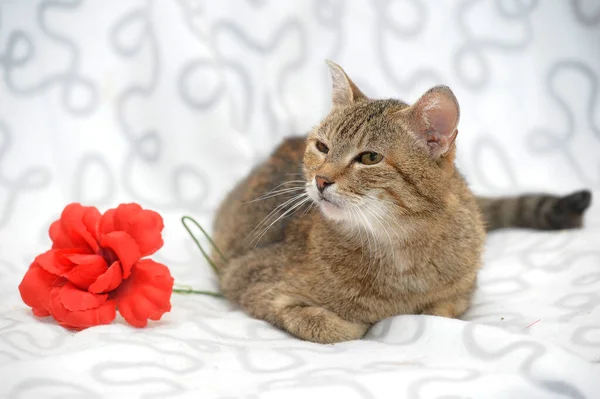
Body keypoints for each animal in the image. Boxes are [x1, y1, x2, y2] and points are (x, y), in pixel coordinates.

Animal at [210, 61, 592, 344]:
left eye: (369, 157)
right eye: (321, 147)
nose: (320, 180)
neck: (397, 248)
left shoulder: (462, 291)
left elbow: (439, 309)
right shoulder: (245, 278)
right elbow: (329, 327)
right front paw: (356, 323)